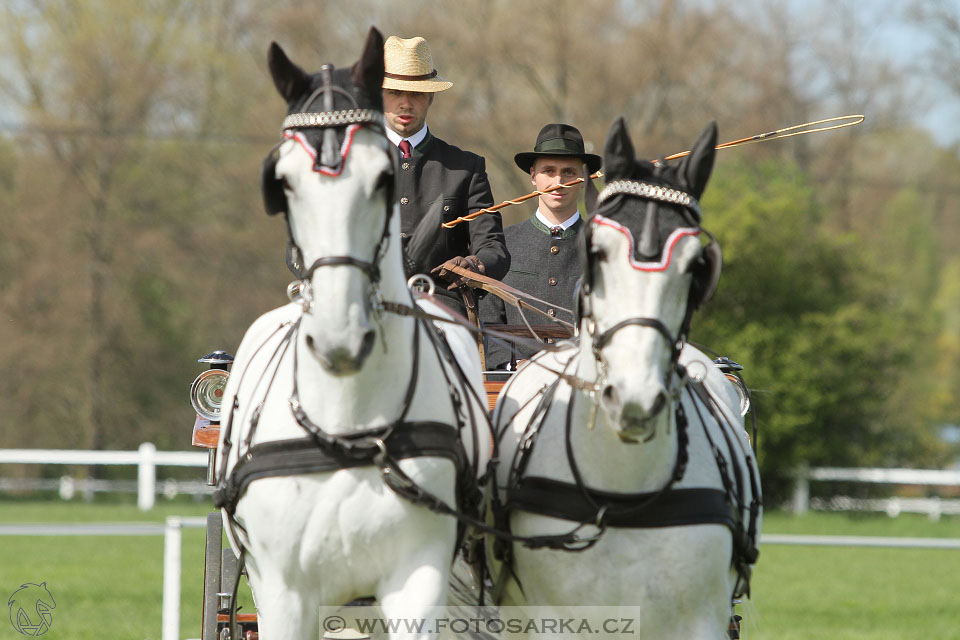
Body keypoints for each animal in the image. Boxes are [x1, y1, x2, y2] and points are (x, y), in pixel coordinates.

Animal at [215, 30, 492, 640]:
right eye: (282, 182)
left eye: (384, 176)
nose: (340, 335)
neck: (347, 423)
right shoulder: (284, 593)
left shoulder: (420, 580)